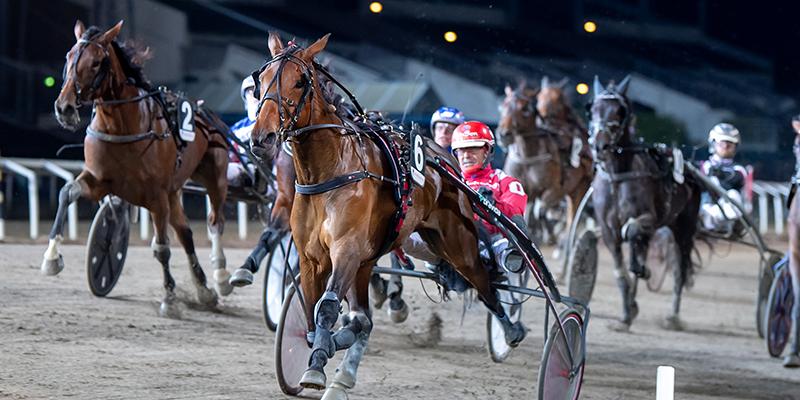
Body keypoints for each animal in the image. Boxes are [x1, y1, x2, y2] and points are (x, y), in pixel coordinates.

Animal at [45, 21, 231, 318]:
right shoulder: (99, 181)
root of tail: (206, 111)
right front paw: (51, 257)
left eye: (96, 62)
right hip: (174, 191)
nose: (65, 108)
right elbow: (67, 192)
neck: (121, 127)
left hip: (214, 177)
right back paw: (203, 290)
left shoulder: (156, 196)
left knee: (215, 222)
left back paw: (221, 277)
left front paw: (169, 298)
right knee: (186, 233)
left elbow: (161, 248)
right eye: (68, 56)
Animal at [250, 32, 524, 398]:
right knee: (363, 317)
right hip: (372, 260)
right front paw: (319, 350)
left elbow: (326, 308)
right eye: (261, 79)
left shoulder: (347, 250)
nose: (261, 138)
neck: (331, 171)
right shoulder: (313, 259)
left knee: (484, 282)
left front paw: (317, 365)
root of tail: (445, 162)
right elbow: (312, 314)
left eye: (299, 81)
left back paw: (510, 330)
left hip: (458, 243)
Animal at [588, 75, 700, 332]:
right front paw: (625, 315)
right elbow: (621, 273)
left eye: (619, 111)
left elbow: (631, 230)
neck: (618, 177)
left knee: (680, 270)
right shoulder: (608, 231)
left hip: (684, 229)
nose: (600, 145)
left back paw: (673, 317)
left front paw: (644, 270)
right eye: (593, 108)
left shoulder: (648, 218)